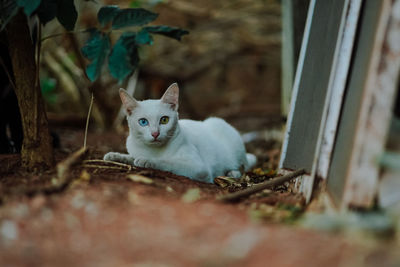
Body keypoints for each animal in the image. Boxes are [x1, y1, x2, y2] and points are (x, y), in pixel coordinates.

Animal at [104, 84, 256, 184]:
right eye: (143, 122)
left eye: (164, 120)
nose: (155, 133)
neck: (152, 150)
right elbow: (131, 157)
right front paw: (115, 156)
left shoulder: (200, 169)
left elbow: (168, 162)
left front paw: (147, 161)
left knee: (243, 167)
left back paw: (232, 173)